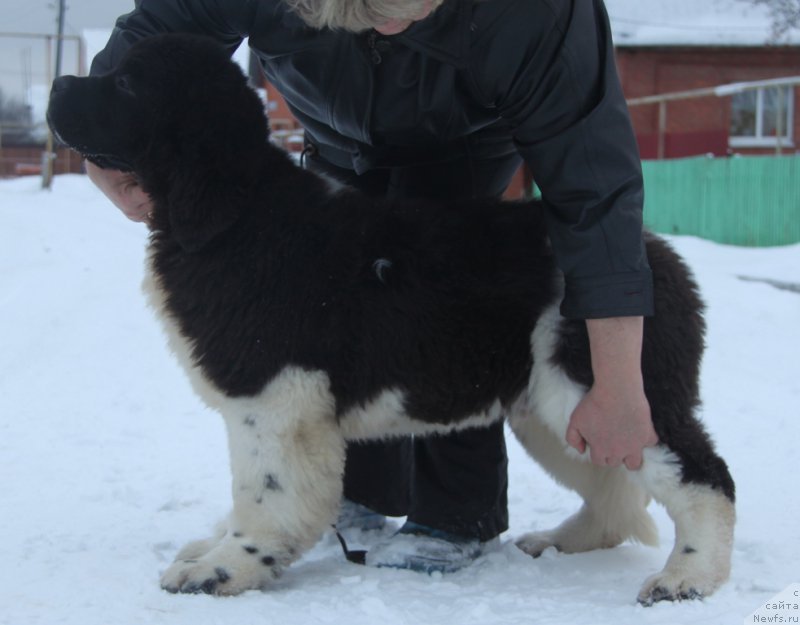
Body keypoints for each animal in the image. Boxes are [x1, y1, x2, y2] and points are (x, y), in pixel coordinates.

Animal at [48, 33, 736, 600]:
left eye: (128, 84)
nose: (56, 86)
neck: (234, 210)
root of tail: (654, 253)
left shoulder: (274, 397)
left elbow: (264, 493)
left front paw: (224, 568)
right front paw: (212, 550)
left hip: (607, 388)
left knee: (705, 478)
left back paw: (687, 578)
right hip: (551, 407)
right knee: (615, 484)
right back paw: (562, 540)